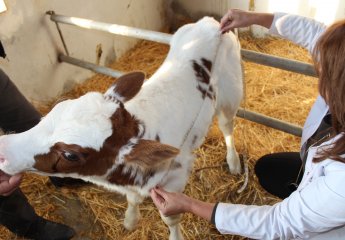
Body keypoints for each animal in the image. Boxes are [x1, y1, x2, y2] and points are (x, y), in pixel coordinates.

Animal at [0, 16, 242, 240]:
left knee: (227, 126)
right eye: (56, 109)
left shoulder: (175, 178)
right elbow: (132, 199)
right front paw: (130, 220)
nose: (3, 150)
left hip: (231, 93)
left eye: (70, 154)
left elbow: (171, 218)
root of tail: (211, 23)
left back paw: (233, 161)